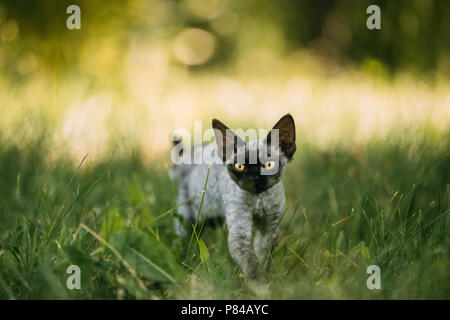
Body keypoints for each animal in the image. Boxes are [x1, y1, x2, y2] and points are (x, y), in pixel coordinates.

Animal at [171, 114, 296, 282]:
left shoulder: (270, 228)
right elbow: (248, 258)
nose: (254, 177)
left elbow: (262, 254)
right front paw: (257, 281)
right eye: (239, 166)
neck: (259, 200)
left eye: (269, 165)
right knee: (183, 236)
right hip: (189, 215)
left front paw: (264, 276)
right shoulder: (239, 228)